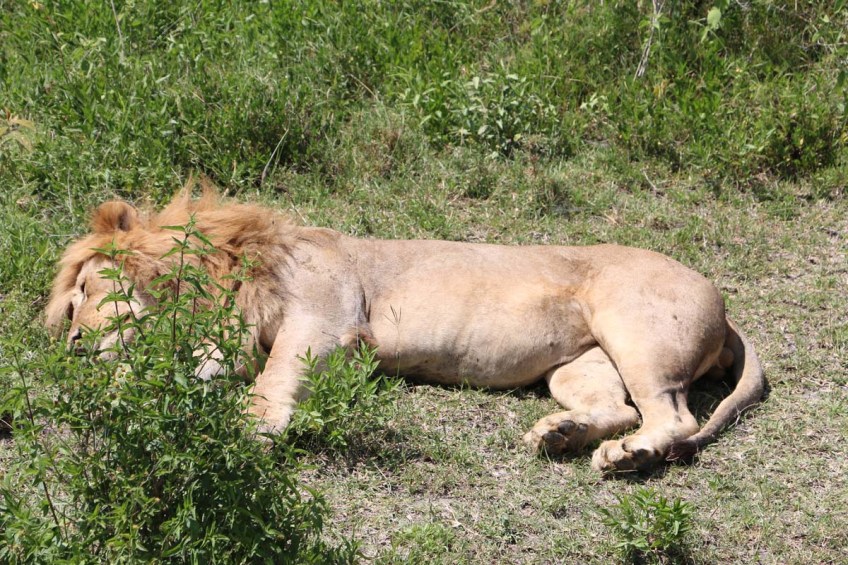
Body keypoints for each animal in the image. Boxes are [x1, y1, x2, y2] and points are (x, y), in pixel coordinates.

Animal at [46, 188, 764, 472]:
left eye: (82, 293)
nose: (73, 344)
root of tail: (725, 306)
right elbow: (199, 370)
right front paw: (126, 399)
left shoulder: (325, 317)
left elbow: (274, 379)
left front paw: (253, 429)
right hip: (578, 364)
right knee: (619, 408)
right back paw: (559, 435)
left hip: (634, 329)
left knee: (671, 416)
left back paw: (626, 457)